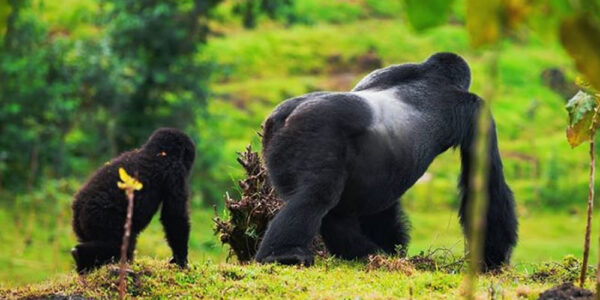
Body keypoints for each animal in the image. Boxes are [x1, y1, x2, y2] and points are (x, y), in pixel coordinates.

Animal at [71, 127, 195, 274]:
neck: (158, 153)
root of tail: (77, 210)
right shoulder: (175, 173)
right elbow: (174, 216)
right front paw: (181, 260)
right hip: (102, 218)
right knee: (119, 243)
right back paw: (81, 255)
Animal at [253, 52, 516, 270]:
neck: (432, 75)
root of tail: (283, 116)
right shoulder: (476, 110)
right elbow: (486, 185)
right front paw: (492, 260)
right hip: (315, 130)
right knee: (316, 195)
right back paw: (284, 254)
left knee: (333, 210)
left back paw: (361, 253)